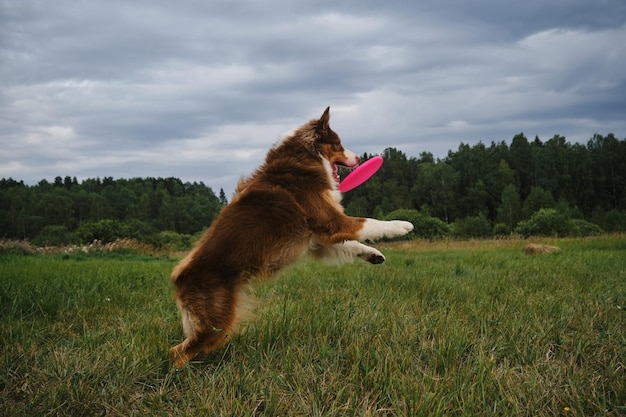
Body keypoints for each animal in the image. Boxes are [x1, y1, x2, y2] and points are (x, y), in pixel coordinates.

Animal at [169, 107, 414, 368]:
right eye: (338, 144)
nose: (358, 158)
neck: (303, 158)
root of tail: (178, 277)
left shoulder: (318, 241)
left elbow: (352, 244)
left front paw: (374, 255)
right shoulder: (330, 222)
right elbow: (369, 222)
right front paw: (402, 225)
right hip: (216, 319)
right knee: (178, 352)